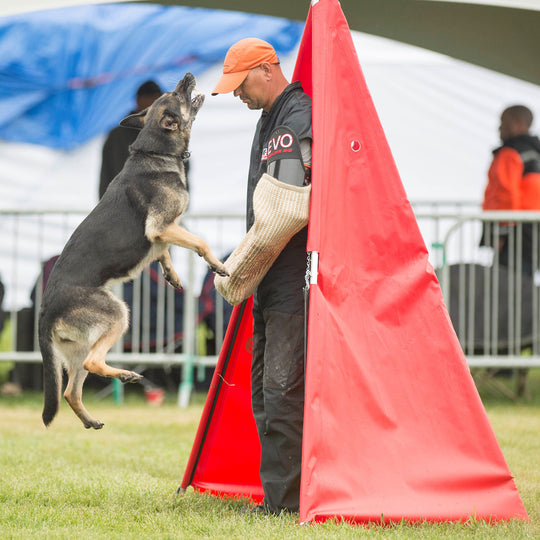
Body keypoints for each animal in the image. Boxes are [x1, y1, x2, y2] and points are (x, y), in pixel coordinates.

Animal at [38, 73, 228, 430]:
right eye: (176, 94)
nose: (187, 77)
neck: (154, 150)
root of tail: (45, 312)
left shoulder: (164, 233)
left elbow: (163, 252)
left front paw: (172, 275)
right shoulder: (161, 227)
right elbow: (200, 242)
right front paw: (217, 266)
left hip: (77, 349)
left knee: (70, 390)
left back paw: (90, 419)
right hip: (117, 315)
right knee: (95, 363)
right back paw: (126, 375)